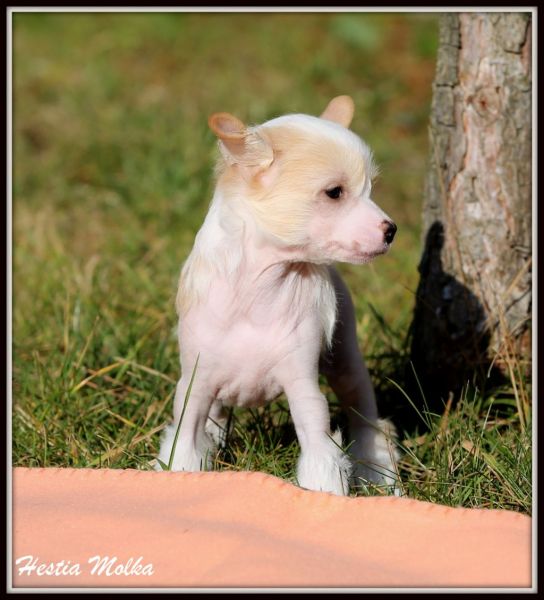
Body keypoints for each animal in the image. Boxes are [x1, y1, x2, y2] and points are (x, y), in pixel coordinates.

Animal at [157, 95, 399, 495]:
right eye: (335, 193)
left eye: (371, 190)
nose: (391, 229)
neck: (260, 288)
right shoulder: (196, 384)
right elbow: (185, 445)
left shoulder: (304, 389)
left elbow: (320, 457)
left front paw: (328, 495)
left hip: (346, 361)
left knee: (364, 413)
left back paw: (377, 467)